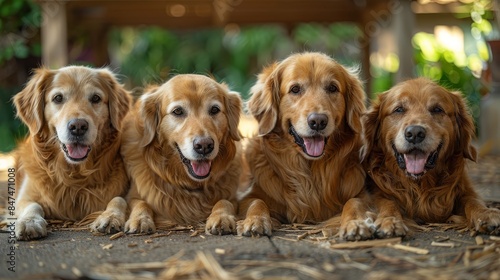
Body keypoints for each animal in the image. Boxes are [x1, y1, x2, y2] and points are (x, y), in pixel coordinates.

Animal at [13, 65, 131, 241]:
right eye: (58, 98)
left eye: (95, 98)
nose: (78, 127)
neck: (74, 174)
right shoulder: (24, 196)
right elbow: (32, 205)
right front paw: (29, 222)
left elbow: (118, 199)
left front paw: (110, 217)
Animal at [123, 74, 244, 234]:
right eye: (178, 111)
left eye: (214, 110)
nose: (204, 146)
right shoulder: (132, 195)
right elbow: (140, 203)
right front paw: (140, 219)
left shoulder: (233, 197)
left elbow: (224, 201)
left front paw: (221, 217)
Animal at [236, 51, 374, 240]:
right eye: (295, 89)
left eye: (332, 88)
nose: (318, 121)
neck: (310, 170)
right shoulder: (249, 195)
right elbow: (256, 202)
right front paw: (255, 220)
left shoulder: (362, 193)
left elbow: (355, 202)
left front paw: (356, 222)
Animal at [362, 77, 500, 236]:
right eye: (399, 109)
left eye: (437, 109)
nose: (415, 133)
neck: (420, 184)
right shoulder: (378, 193)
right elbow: (387, 202)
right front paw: (389, 219)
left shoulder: (464, 188)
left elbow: (472, 200)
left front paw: (485, 213)